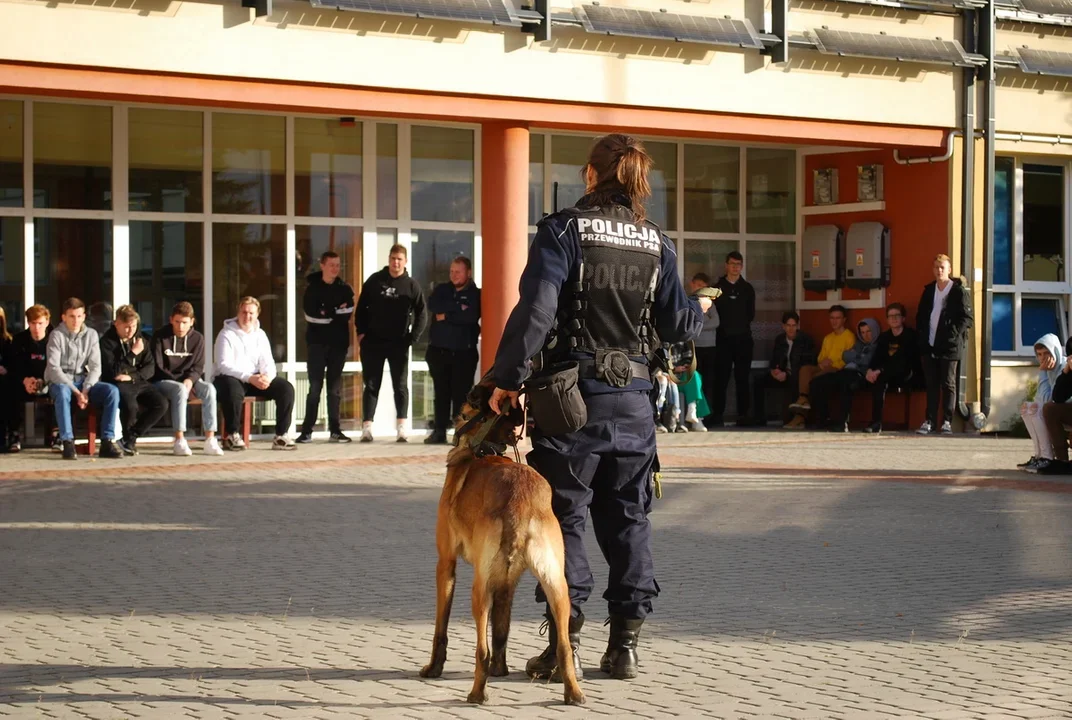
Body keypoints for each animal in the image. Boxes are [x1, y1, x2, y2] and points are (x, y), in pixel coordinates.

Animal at [418, 379, 587, 707]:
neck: (482, 448)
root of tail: (520, 501)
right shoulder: (507, 582)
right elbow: (501, 629)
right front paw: (501, 669)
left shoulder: (446, 565)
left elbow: (442, 627)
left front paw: (434, 668)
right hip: (557, 586)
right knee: (563, 646)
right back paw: (572, 693)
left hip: (479, 588)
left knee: (480, 649)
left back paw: (477, 694)